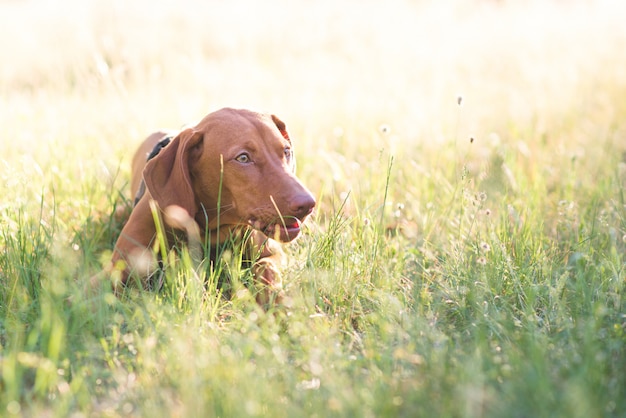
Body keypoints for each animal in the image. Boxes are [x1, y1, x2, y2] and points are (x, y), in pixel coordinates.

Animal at [108, 108, 314, 300]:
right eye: (243, 158)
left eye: (286, 151)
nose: (308, 205)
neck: (210, 226)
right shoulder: (118, 271)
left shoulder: (272, 254)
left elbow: (267, 269)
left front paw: (276, 300)